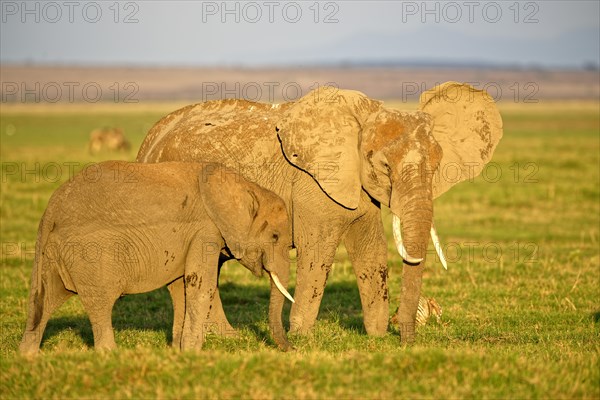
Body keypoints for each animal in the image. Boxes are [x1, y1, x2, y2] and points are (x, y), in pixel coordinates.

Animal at [19, 161, 296, 354]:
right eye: (274, 236)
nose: (293, 349)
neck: (247, 186)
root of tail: (51, 209)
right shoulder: (205, 229)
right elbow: (201, 285)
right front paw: (193, 352)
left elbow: (180, 287)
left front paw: (179, 351)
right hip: (89, 254)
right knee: (100, 302)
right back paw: (110, 354)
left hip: (52, 253)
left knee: (46, 300)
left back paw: (28, 356)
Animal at [136, 82, 502, 344]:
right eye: (384, 167)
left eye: (438, 166)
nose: (405, 338)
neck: (364, 116)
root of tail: (148, 140)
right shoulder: (312, 183)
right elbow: (318, 253)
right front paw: (302, 337)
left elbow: (371, 251)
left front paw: (376, 336)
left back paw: (227, 338)